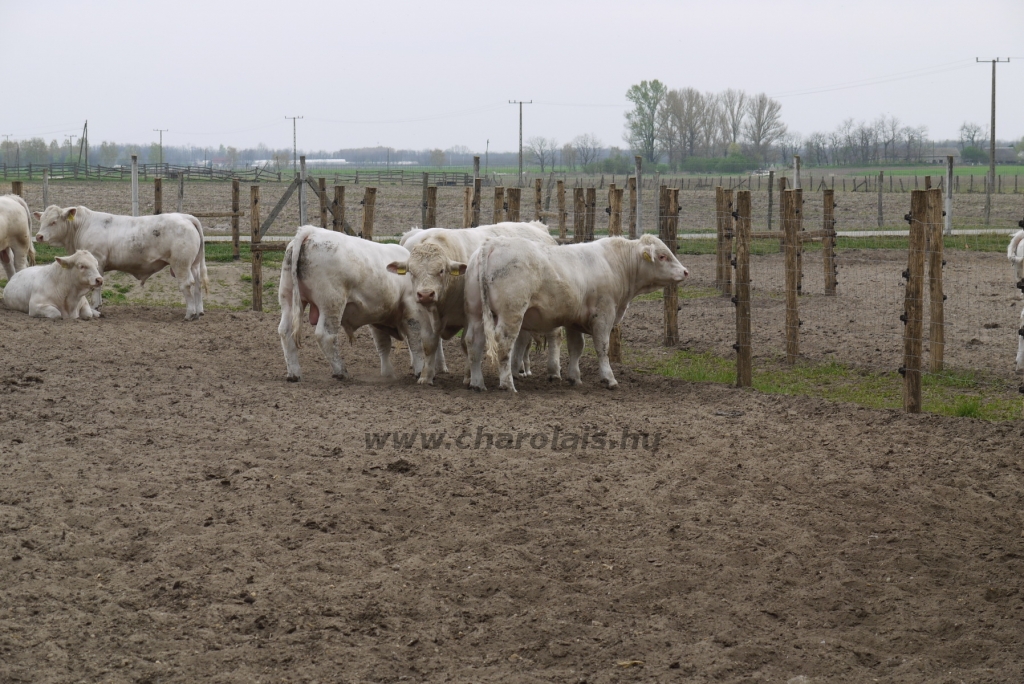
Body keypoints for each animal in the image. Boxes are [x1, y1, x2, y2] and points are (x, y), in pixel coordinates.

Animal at [32, 205, 207, 321]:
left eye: (54, 221)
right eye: (41, 221)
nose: (39, 236)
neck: (82, 226)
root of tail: (186, 217)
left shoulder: (98, 261)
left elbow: (97, 286)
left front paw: (96, 307)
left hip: (181, 264)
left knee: (187, 284)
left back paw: (190, 313)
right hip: (194, 264)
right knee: (198, 284)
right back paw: (199, 311)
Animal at [274, 227, 425, 382]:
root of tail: (311, 231)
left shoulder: (379, 316)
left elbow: (384, 344)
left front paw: (389, 373)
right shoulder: (411, 308)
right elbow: (415, 340)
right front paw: (420, 371)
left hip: (288, 299)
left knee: (285, 332)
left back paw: (294, 374)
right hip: (332, 303)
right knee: (325, 335)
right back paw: (340, 371)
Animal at [385, 222, 561, 387]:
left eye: (441, 270)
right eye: (411, 271)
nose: (426, 294)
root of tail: (537, 226)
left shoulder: (469, 317)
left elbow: (466, 344)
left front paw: (469, 377)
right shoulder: (423, 314)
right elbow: (429, 344)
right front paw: (425, 377)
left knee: (553, 335)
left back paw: (552, 372)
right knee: (521, 339)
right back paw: (515, 370)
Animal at [468, 233, 692, 389]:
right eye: (662, 256)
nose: (685, 272)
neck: (616, 264)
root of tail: (493, 243)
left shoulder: (573, 320)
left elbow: (576, 348)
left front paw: (574, 377)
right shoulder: (603, 315)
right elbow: (602, 347)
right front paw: (609, 378)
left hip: (476, 314)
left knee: (474, 342)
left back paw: (477, 383)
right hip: (511, 314)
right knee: (504, 342)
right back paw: (507, 384)